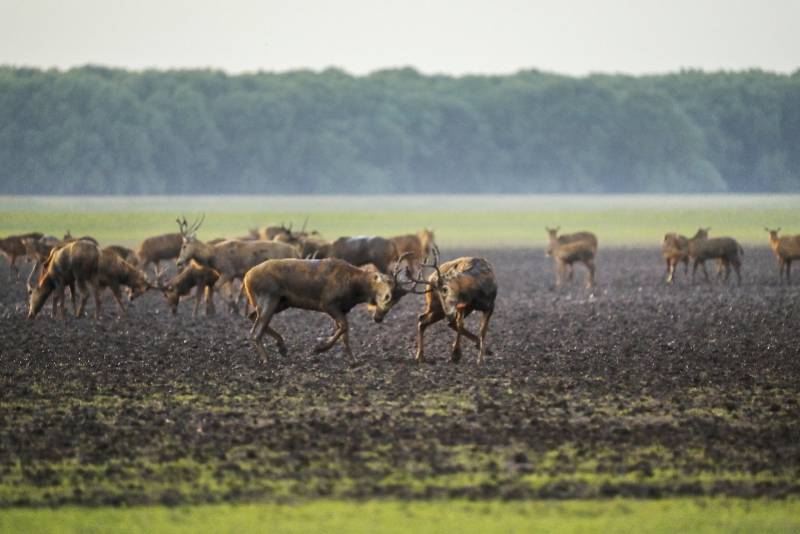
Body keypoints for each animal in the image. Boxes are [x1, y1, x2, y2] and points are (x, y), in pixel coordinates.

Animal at [242, 254, 416, 364]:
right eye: (387, 296)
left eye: (396, 301)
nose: (378, 318)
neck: (355, 290)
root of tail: (246, 278)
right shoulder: (328, 303)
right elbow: (344, 327)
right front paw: (318, 348)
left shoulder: (343, 309)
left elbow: (345, 333)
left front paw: (353, 360)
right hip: (269, 297)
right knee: (255, 331)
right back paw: (266, 359)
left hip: (281, 302)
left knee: (252, 316)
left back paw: (282, 347)